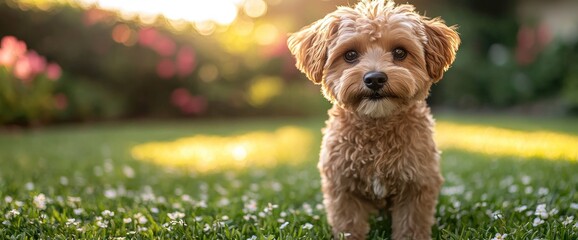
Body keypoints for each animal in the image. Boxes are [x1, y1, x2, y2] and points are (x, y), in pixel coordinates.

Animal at [286, 0, 456, 239]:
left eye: (400, 52)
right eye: (350, 55)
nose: (375, 78)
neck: (377, 128)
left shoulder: (416, 185)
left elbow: (411, 226)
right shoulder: (343, 187)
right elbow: (348, 226)